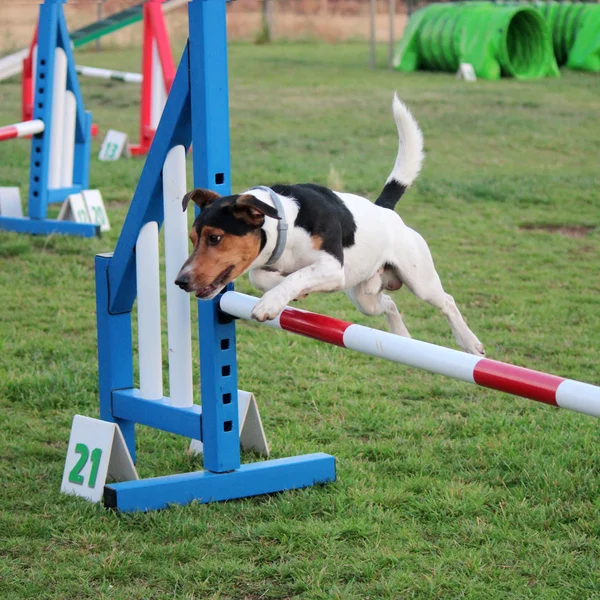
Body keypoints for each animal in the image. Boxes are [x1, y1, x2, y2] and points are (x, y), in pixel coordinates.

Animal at [176, 95, 486, 356]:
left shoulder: (332, 268)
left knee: (447, 301)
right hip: (364, 297)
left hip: (420, 280)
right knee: (389, 304)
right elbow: (263, 277)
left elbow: (297, 276)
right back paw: (403, 337)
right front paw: (285, 290)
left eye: (215, 238)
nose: (181, 281)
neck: (287, 224)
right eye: (192, 239)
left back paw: (470, 343)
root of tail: (385, 210)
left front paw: (270, 302)